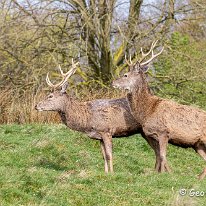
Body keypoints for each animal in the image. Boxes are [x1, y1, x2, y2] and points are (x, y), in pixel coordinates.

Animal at [112, 41, 206, 179]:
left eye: (125, 75)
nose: (113, 82)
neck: (148, 111)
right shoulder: (153, 135)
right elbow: (158, 155)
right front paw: (160, 173)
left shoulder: (164, 132)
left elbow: (162, 156)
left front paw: (167, 175)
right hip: (197, 145)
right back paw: (199, 178)